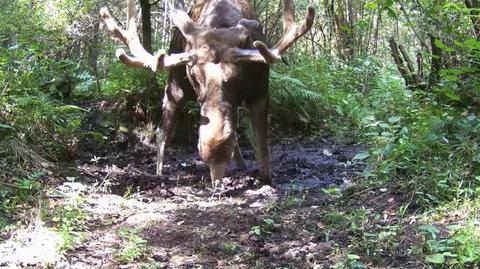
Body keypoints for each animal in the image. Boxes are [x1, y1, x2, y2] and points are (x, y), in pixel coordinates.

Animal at [99, 0, 314, 184]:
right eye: (194, 74)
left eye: (237, 74)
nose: (214, 150)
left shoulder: (260, 92)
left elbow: (261, 144)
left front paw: (265, 177)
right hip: (174, 83)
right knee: (162, 131)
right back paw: (159, 173)